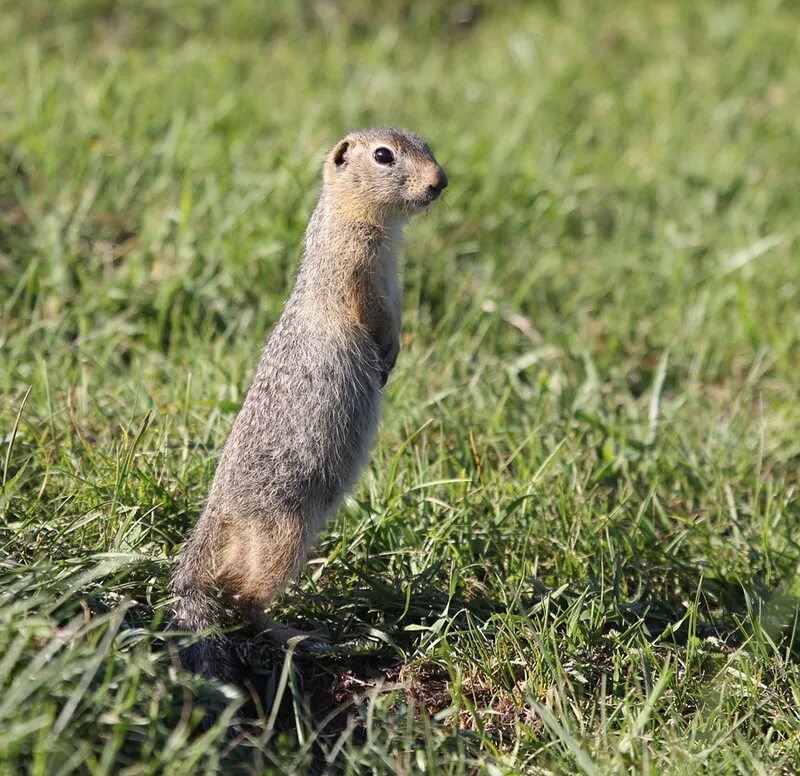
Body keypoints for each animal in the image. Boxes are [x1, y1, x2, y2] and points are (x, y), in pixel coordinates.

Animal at [173, 129, 446, 684]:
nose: (441, 181)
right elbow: (371, 310)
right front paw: (383, 356)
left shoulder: (393, 279)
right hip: (283, 531)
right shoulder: (354, 266)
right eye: (383, 155)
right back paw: (300, 636)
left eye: (426, 144)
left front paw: (394, 357)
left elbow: (398, 310)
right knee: (240, 596)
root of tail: (216, 510)